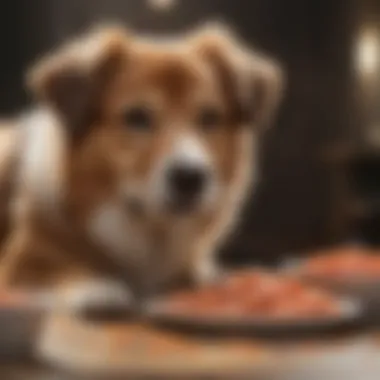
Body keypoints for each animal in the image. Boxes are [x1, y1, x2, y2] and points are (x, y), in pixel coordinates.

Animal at [0, 23, 282, 314]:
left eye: (210, 117)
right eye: (136, 117)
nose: (189, 177)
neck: (149, 233)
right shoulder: (21, 264)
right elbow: (65, 272)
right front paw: (98, 288)